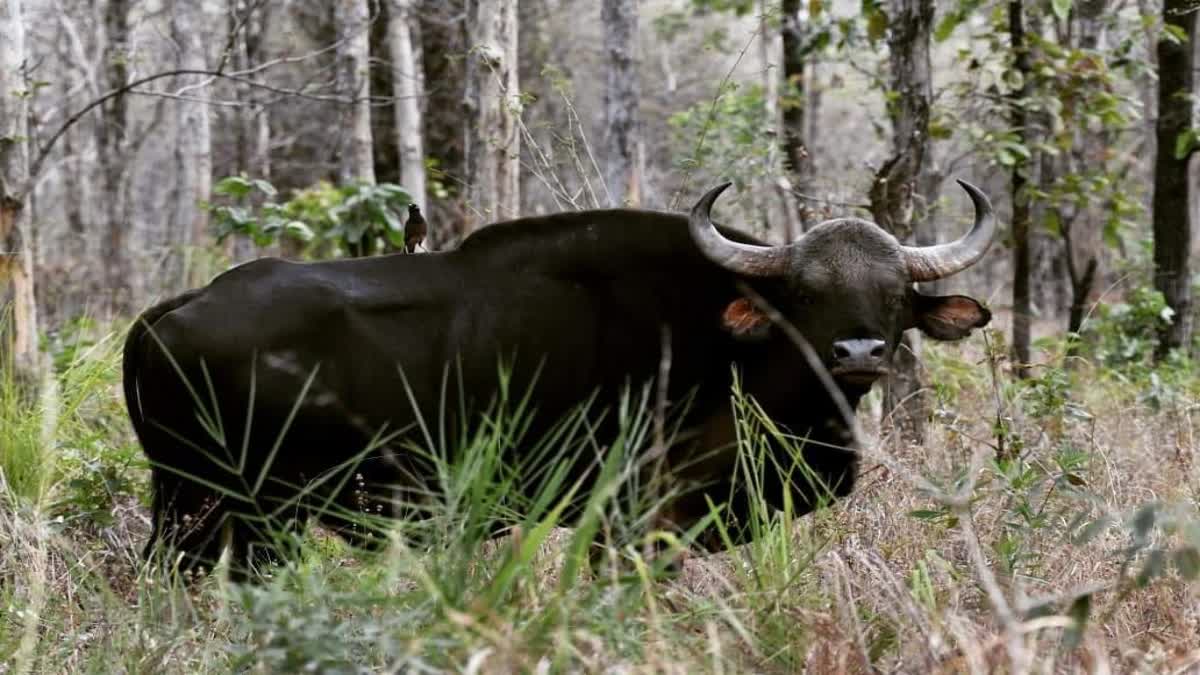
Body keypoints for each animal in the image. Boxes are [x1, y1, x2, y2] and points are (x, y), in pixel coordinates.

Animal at [124, 177, 993, 571]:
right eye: (806, 294)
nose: (859, 354)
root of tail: (175, 308)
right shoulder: (635, 520)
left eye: (894, 296)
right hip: (234, 510)